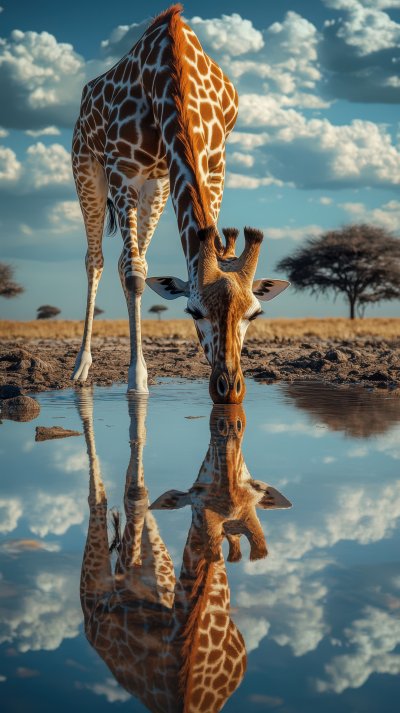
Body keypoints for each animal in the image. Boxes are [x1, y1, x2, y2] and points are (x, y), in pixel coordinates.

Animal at [71, 4, 289, 403]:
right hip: (86, 167)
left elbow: (202, 242)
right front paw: (137, 381)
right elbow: (135, 276)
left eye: (254, 314)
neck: (173, 75)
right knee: (99, 261)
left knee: (130, 258)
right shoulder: (123, 170)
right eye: (192, 311)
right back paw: (82, 366)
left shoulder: (215, 163)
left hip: (156, 186)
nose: (229, 387)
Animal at [78, 392, 292, 711]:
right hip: (93, 589)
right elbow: (132, 495)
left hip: (160, 562)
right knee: (101, 498)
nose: (230, 430)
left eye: (254, 488)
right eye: (197, 493)